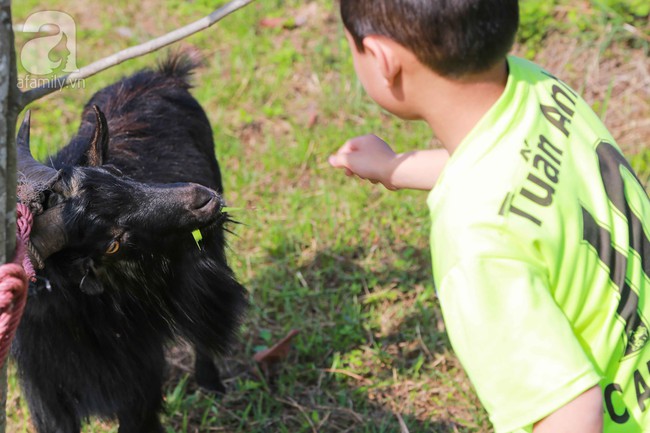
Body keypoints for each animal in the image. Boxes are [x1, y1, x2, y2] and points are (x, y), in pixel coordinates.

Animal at [13, 55, 246, 432]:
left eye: (120, 177)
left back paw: (210, 383)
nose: (204, 199)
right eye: (112, 243)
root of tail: (164, 75)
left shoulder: (140, 382)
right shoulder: (47, 396)